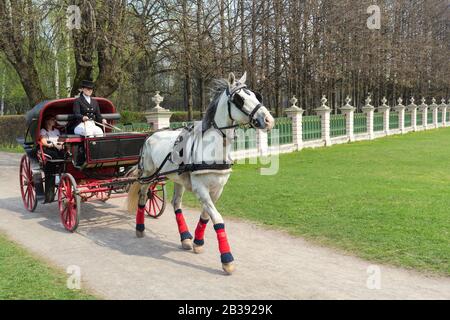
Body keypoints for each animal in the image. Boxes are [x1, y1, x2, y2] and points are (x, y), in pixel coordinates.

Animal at [125, 73, 274, 276]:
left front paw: (197, 242)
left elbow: (206, 216)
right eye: (240, 99)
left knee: (176, 204)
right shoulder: (200, 189)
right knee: (142, 197)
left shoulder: (217, 189)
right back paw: (140, 228)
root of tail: (150, 134)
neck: (213, 148)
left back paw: (185, 238)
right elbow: (217, 219)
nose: (269, 120)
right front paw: (227, 259)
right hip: (148, 175)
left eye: (256, 96)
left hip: (177, 179)